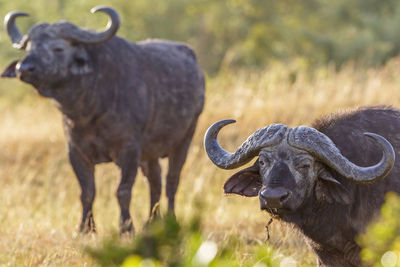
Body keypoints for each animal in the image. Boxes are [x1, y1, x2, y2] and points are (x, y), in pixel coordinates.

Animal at [1, 5, 205, 233]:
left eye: (58, 48)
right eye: (30, 48)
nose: (23, 69)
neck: (90, 110)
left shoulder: (129, 150)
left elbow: (122, 191)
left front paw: (126, 227)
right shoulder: (76, 152)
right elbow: (87, 192)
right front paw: (85, 228)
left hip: (184, 140)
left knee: (171, 181)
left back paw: (170, 219)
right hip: (151, 152)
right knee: (155, 180)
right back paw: (152, 222)